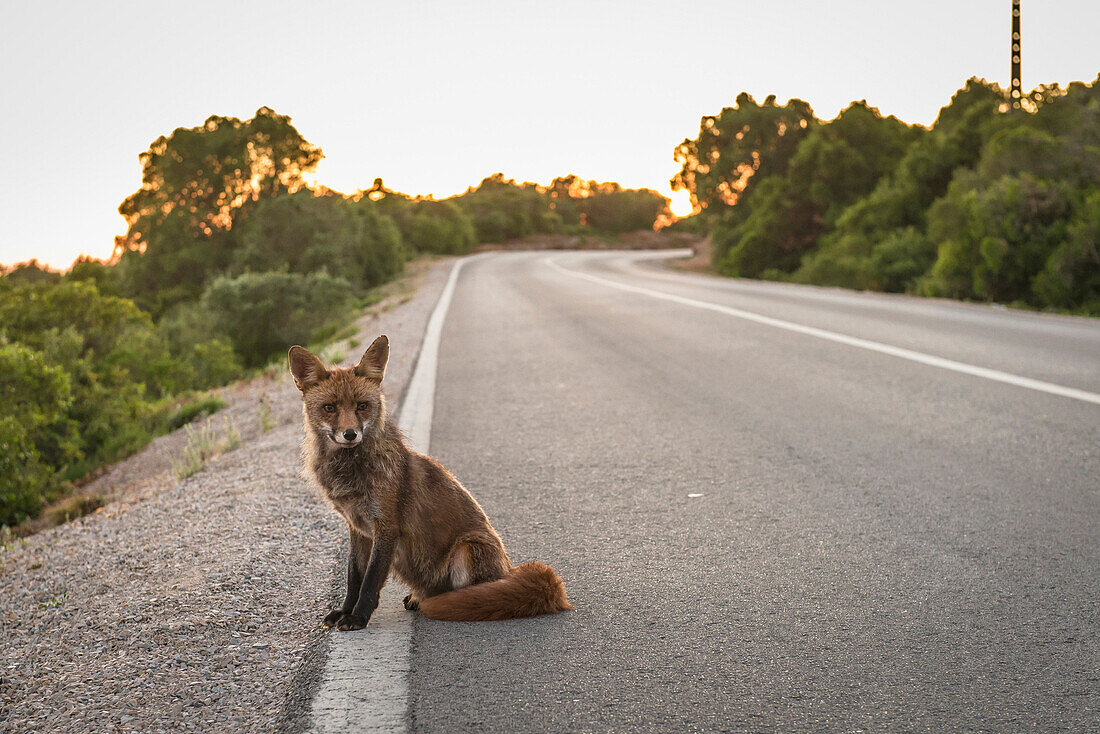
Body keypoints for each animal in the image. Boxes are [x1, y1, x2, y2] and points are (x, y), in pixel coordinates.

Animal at [288, 336, 572, 629]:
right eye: (329, 408)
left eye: (362, 406)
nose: (350, 434)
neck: (351, 473)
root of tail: (509, 570)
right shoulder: (357, 528)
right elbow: (354, 577)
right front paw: (345, 610)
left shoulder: (387, 526)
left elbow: (370, 581)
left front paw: (358, 616)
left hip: (466, 551)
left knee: (475, 595)